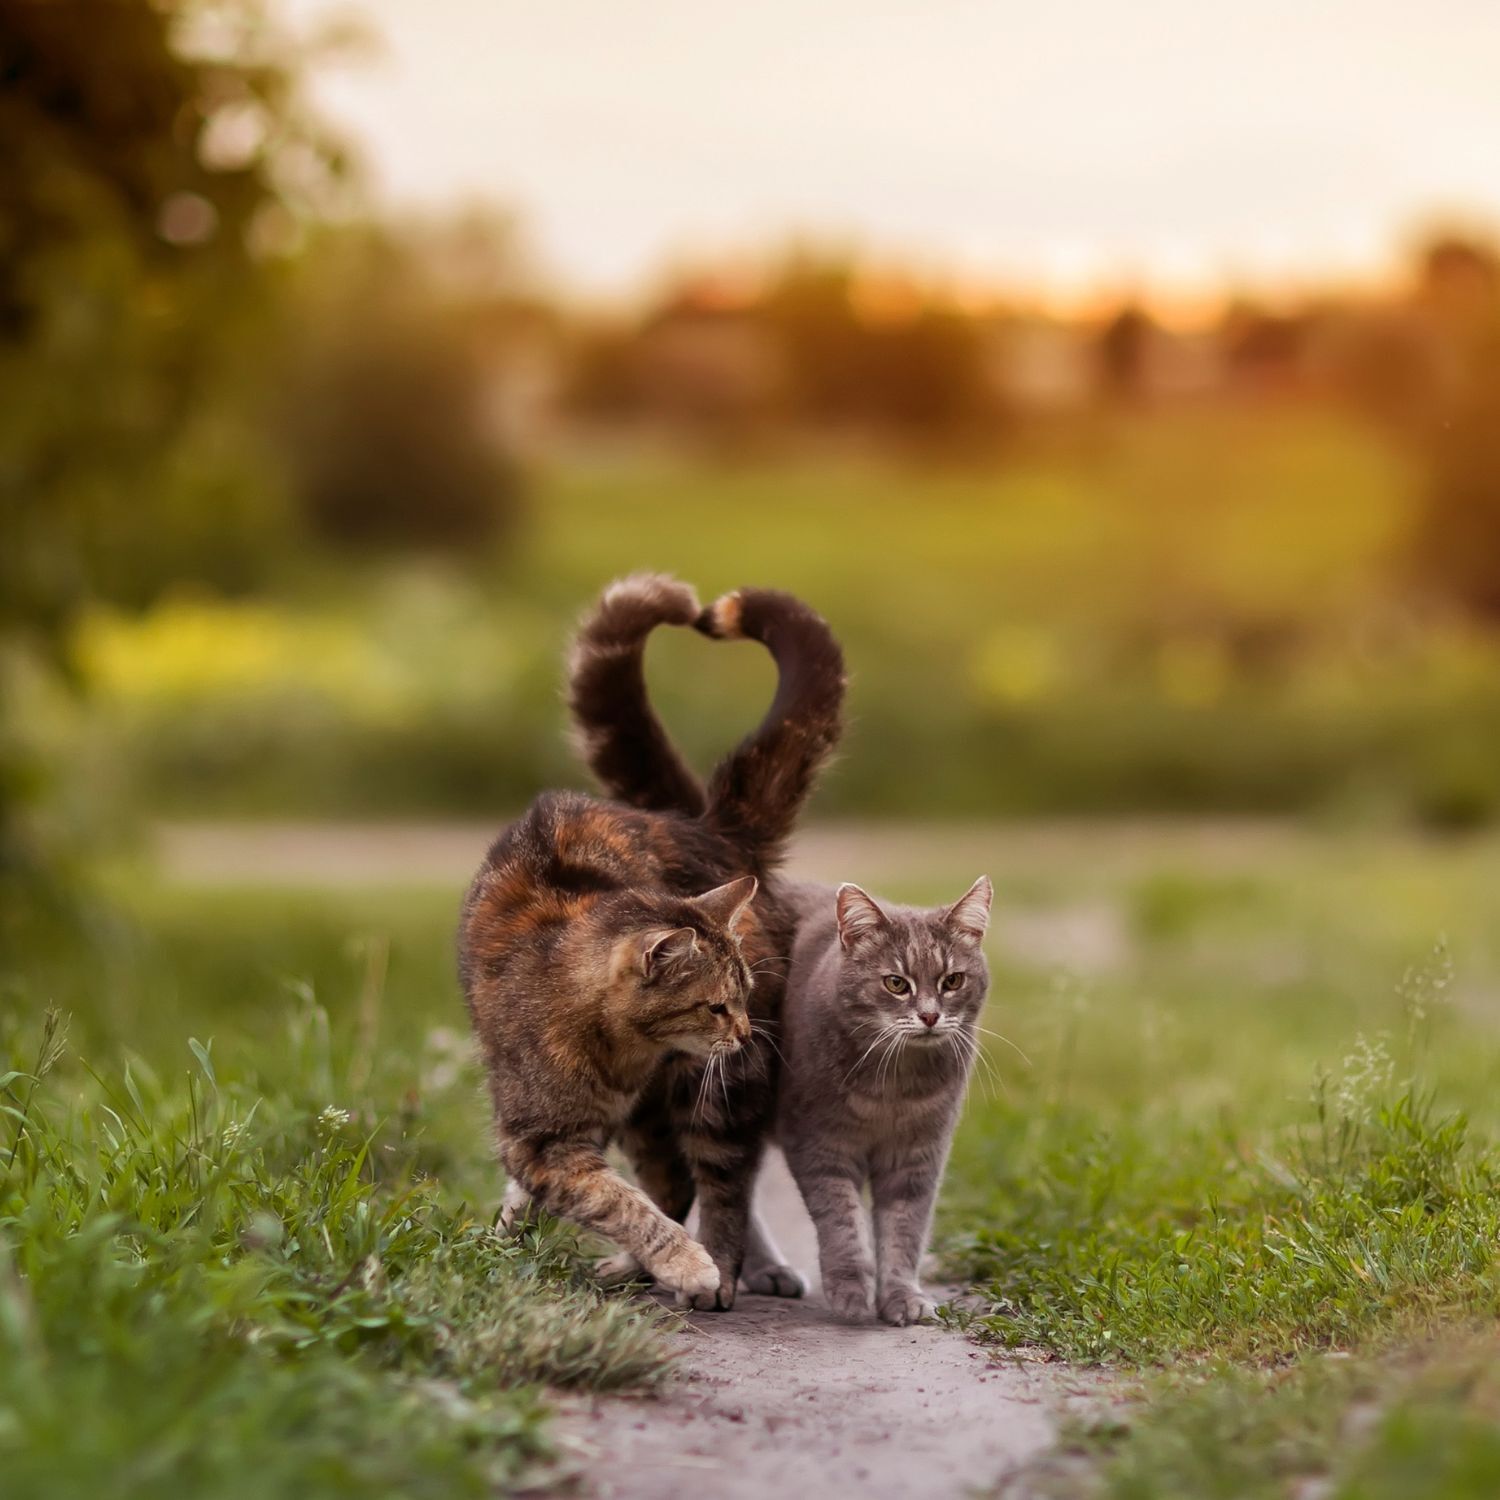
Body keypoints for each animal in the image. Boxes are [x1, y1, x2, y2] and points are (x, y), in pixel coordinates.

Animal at [459, 567, 846, 1308]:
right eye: (716, 1004)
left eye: (741, 996)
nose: (745, 1030)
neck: (620, 1054)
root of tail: (707, 826)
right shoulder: (544, 1139)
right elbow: (614, 1199)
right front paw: (510, 1234)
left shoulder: (597, 1131)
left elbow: (646, 1198)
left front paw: (688, 1265)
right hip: (685, 1100)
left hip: (715, 1094)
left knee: (719, 1186)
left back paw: (716, 1268)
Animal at [762, 876, 996, 1326]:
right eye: (896, 983)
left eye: (952, 981)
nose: (929, 1016)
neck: (894, 1088)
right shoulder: (820, 1145)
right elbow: (843, 1224)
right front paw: (851, 1291)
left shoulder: (917, 1157)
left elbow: (903, 1232)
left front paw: (903, 1298)